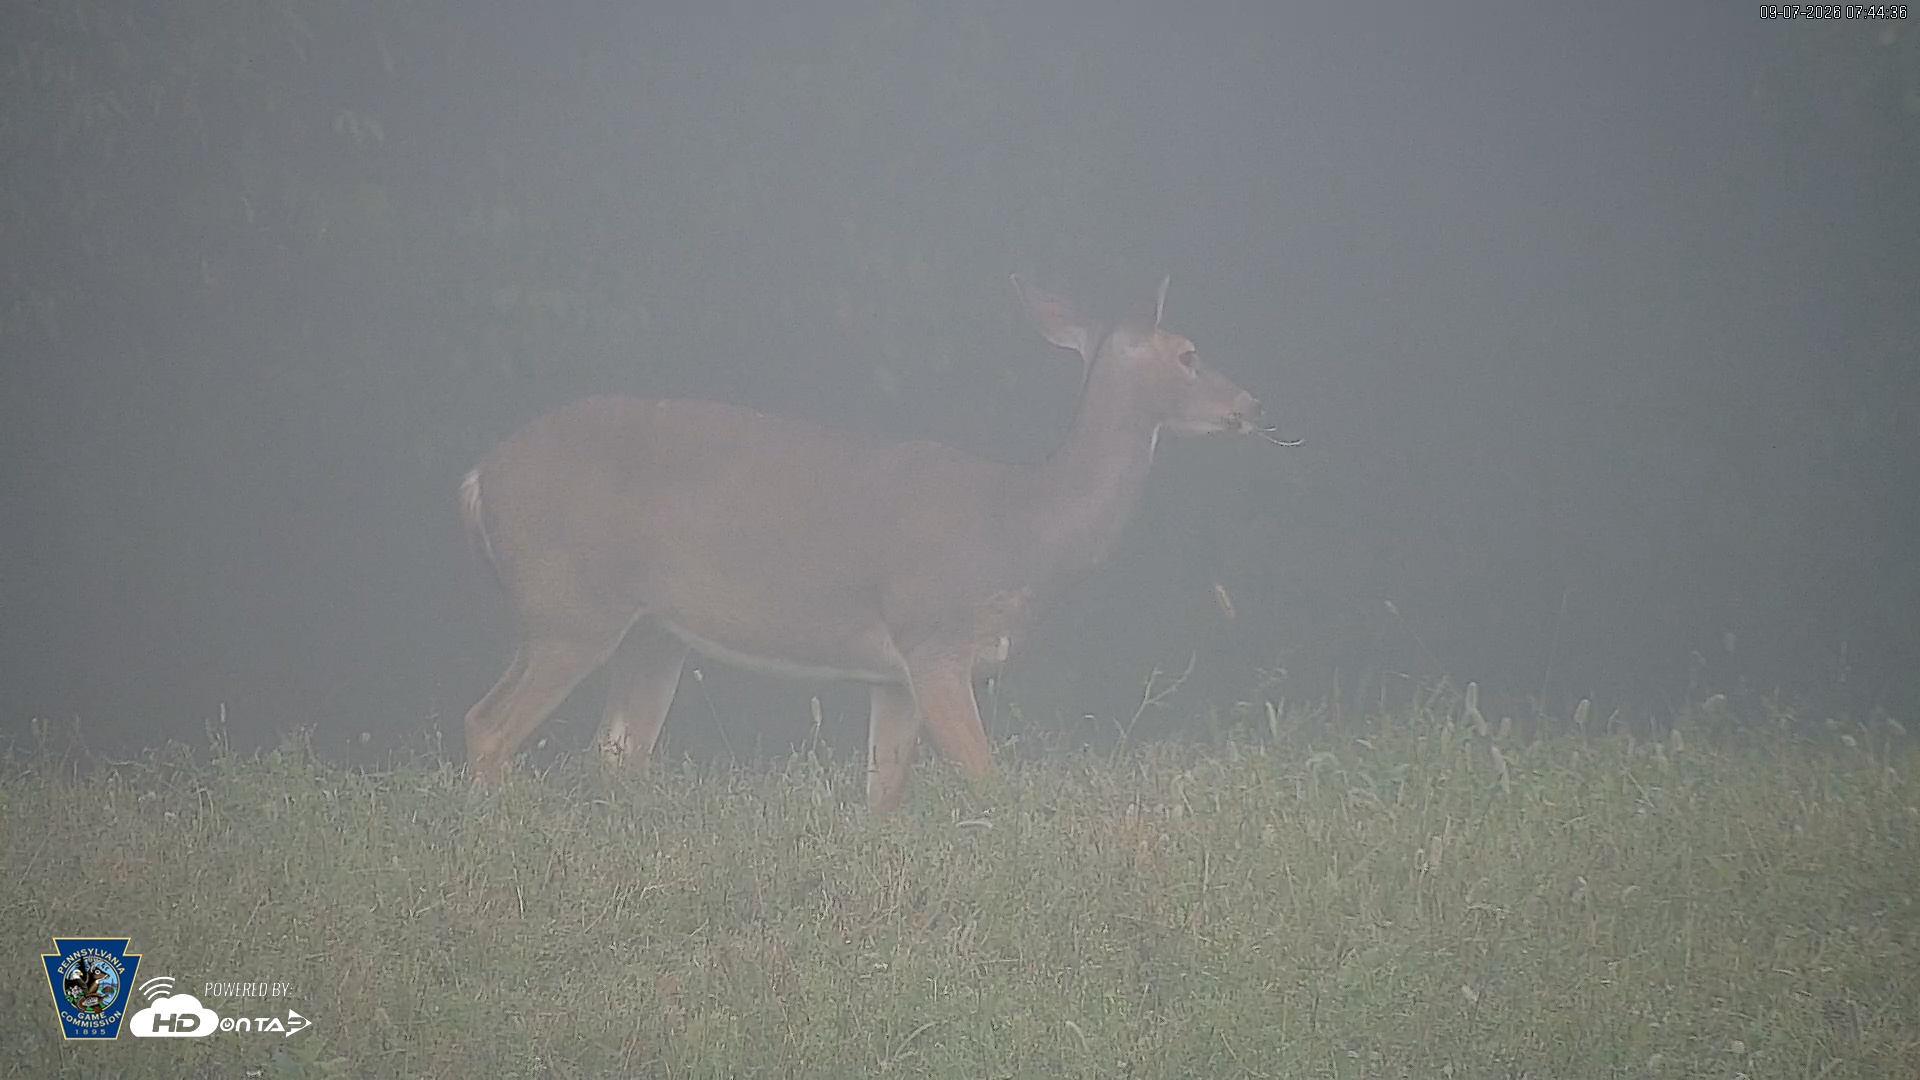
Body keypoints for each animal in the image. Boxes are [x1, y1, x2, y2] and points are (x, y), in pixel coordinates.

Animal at [458, 275, 1261, 811]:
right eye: (1188, 354)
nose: (1250, 404)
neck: (1022, 528)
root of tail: (477, 479)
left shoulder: (892, 674)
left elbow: (883, 793)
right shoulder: (935, 638)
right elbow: (985, 777)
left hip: (646, 632)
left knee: (615, 749)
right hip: (573, 605)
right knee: (490, 725)